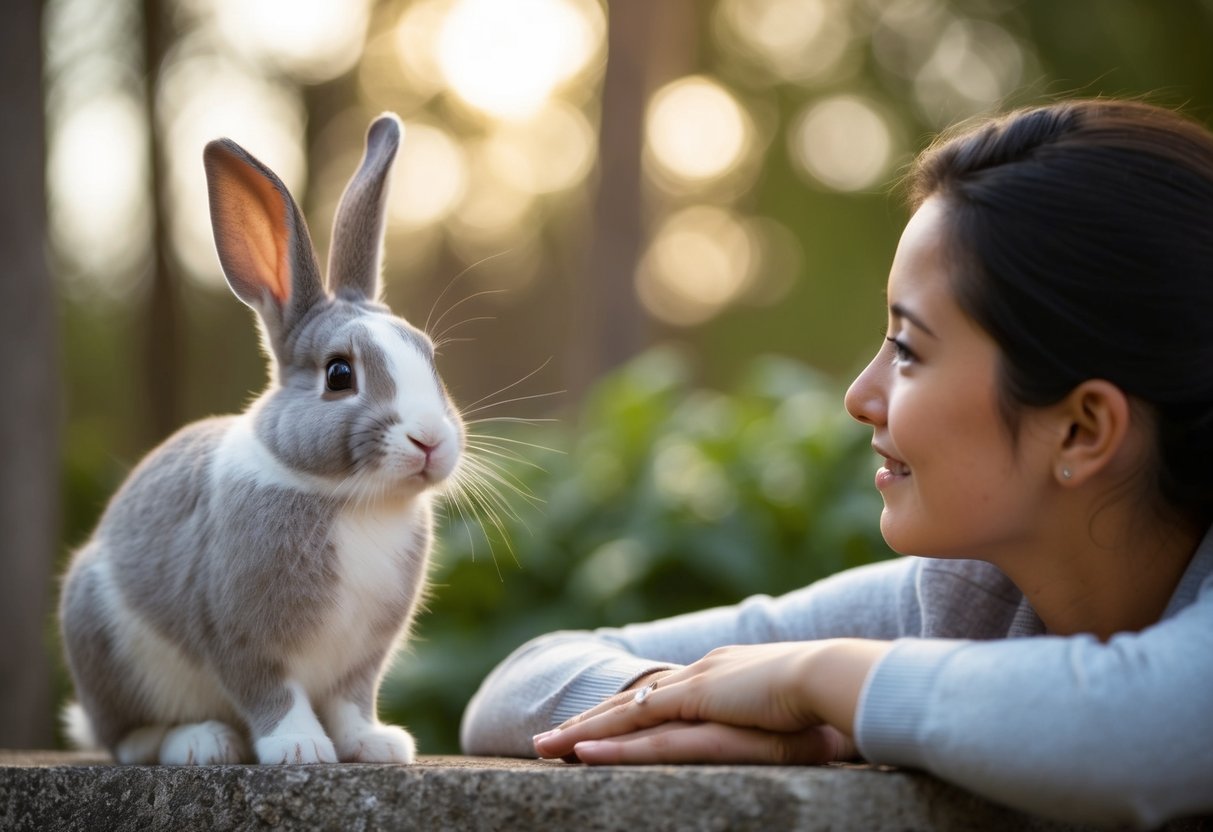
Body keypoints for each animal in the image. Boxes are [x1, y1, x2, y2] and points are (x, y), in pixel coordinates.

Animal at [59, 112, 465, 765]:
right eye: (339, 374)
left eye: (430, 358)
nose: (429, 440)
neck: (351, 499)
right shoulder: (240, 637)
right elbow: (273, 694)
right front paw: (300, 749)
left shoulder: (362, 659)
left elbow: (352, 701)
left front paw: (375, 744)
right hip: (108, 647)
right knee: (129, 739)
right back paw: (202, 742)